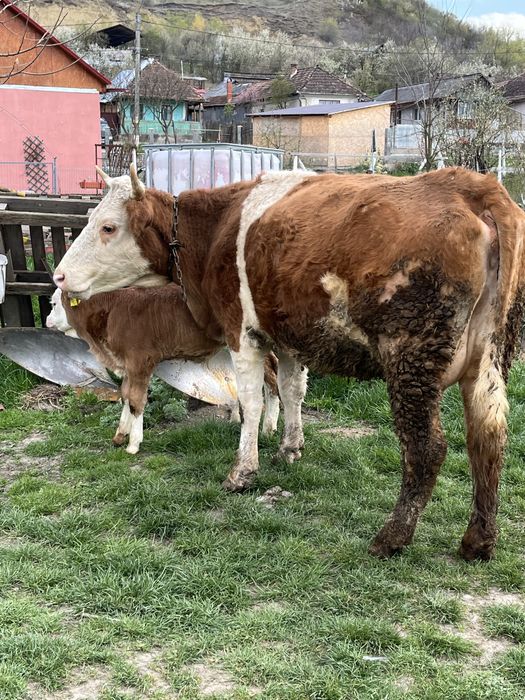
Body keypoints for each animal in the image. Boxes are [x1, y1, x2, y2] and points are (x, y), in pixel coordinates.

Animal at [46, 285, 280, 454]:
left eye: (54, 303)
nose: (47, 321)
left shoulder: (140, 361)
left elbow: (136, 400)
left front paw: (133, 444)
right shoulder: (129, 365)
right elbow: (125, 395)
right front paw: (120, 435)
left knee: (271, 377)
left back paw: (269, 426)